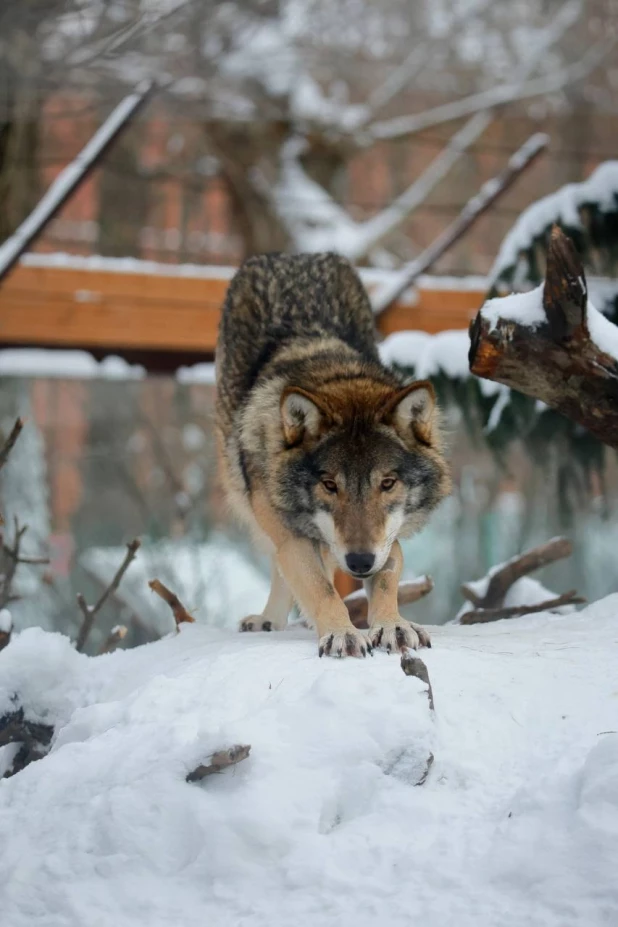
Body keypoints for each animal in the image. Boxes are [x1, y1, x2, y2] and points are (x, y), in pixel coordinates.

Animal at [215, 254, 448, 660]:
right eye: (329, 484)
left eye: (388, 483)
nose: (359, 562)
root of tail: (293, 258)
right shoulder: (292, 535)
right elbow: (321, 588)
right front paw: (341, 632)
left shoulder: (387, 539)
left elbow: (385, 579)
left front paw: (392, 625)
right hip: (245, 493)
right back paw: (270, 620)